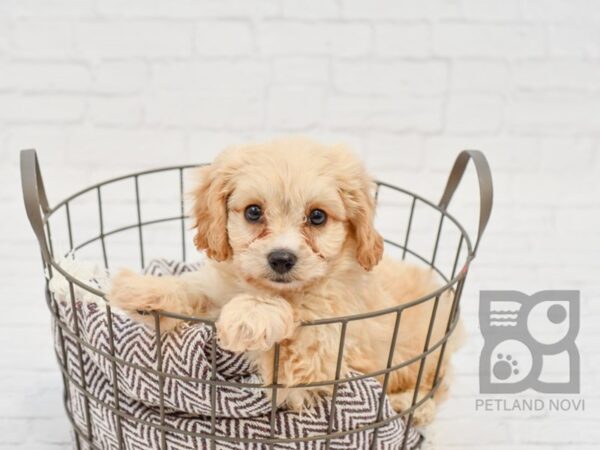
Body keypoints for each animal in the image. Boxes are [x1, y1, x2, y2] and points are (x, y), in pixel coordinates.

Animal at [110, 137, 462, 426]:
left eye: (317, 216)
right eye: (253, 212)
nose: (281, 258)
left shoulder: (317, 358)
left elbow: (293, 316)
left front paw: (252, 313)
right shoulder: (219, 288)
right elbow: (195, 287)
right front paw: (145, 288)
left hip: (429, 354)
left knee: (434, 385)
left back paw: (409, 406)